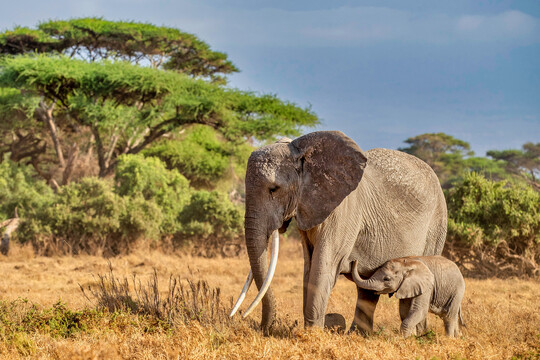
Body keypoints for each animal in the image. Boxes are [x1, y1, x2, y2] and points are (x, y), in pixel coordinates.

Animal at [230, 131, 446, 334]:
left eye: (274, 189)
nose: (263, 328)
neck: (303, 153)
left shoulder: (343, 212)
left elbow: (322, 266)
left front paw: (313, 334)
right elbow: (309, 266)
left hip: (437, 224)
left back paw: (419, 335)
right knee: (367, 288)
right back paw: (359, 335)